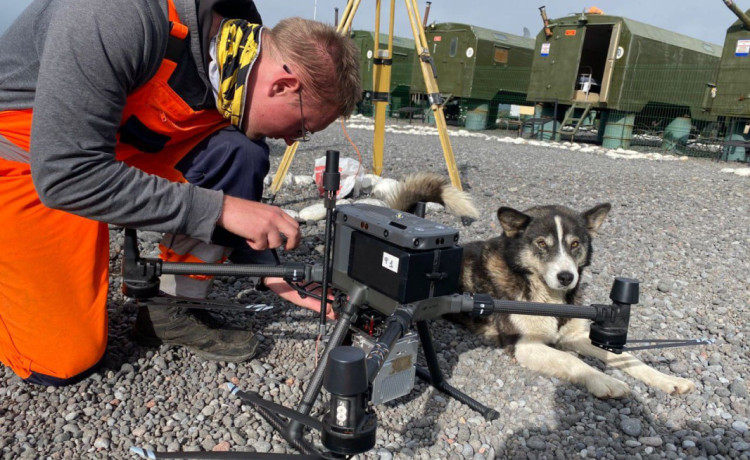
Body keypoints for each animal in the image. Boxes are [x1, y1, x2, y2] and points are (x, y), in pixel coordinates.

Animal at [388, 172, 700, 398]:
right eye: (541, 244)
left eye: (575, 244)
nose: (566, 277)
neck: (547, 295)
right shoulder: (526, 346)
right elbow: (574, 362)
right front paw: (604, 382)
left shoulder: (577, 336)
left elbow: (626, 358)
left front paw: (667, 379)